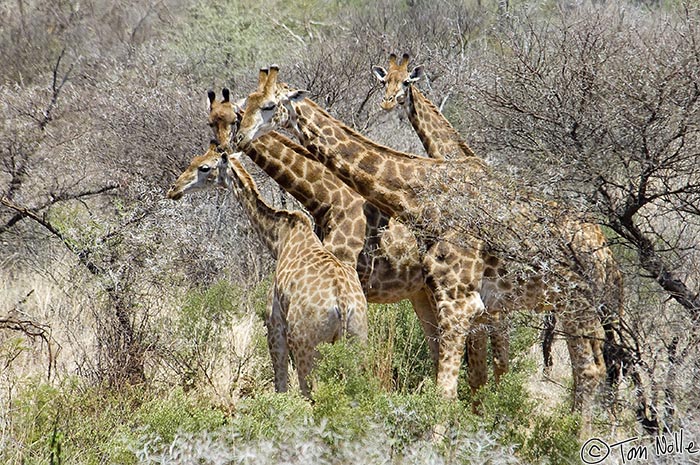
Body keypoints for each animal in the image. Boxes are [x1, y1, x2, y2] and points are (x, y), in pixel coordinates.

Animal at [166, 141, 370, 396]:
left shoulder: (274, 323)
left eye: (204, 167)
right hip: (358, 341)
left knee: (311, 391)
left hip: (306, 343)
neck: (279, 238)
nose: (174, 189)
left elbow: (280, 385)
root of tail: (342, 303)